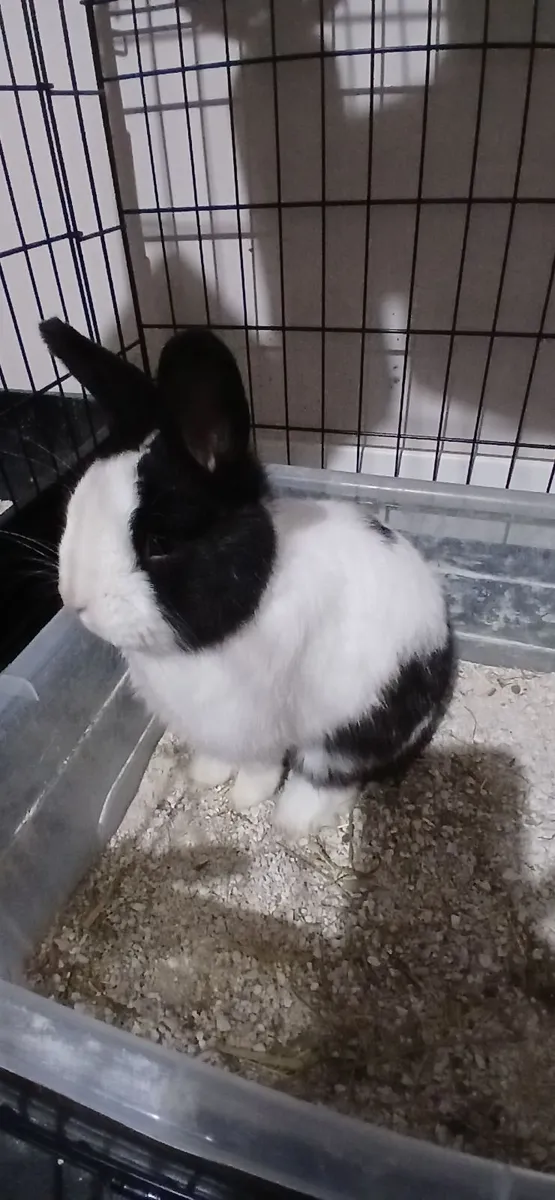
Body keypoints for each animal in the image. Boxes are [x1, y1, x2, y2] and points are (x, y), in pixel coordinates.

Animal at [40, 317, 456, 839]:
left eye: (160, 542)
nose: (74, 601)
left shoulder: (258, 730)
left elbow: (261, 768)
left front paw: (244, 799)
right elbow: (219, 758)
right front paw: (204, 776)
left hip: (355, 723)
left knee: (333, 773)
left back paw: (294, 818)